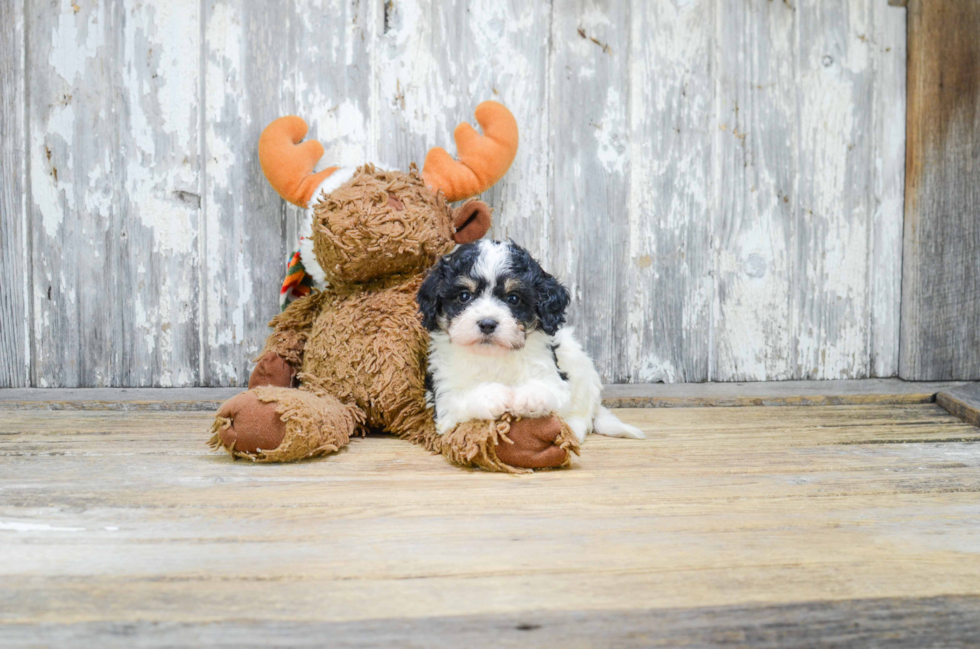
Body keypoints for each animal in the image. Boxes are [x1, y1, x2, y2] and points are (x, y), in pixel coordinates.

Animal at [418, 238, 648, 440]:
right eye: (464, 296)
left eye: (513, 298)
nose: (487, 323)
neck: (494, 355)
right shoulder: (443, 396)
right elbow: (460, 398)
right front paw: (494, 395)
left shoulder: (554, 377)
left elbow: (548, 388)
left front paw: (528, 397)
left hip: (580, 366)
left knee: (582, 417)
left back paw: (570, 429)